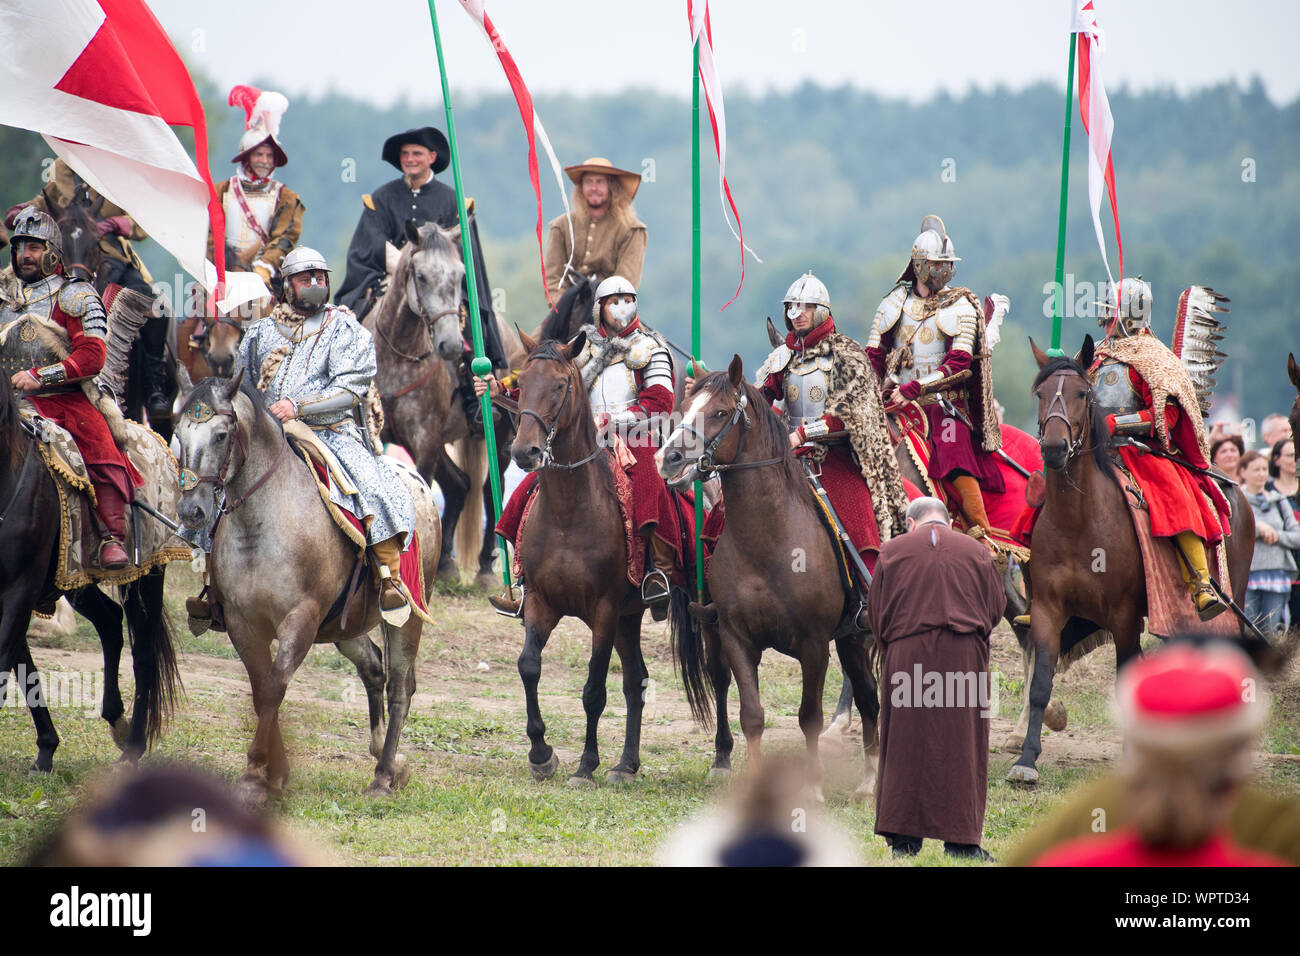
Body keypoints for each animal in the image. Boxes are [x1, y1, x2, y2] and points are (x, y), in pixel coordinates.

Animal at [655, 356, 878, 801]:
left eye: (719, 413)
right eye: (684, 407)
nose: (670, 459)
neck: (769, 541)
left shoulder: (813, 645)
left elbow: (809, 716)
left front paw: (812, 788)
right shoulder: (737, 638)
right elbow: (752, 714)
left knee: (871, 699)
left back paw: (869, 782)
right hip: (849, 639)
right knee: (866, 695)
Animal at [1013, 335, 1258, 785]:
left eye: (1082, 394)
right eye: (1040, 393)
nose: (1054, 449)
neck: (1079, 521)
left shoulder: (1124, 616)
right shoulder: (1047, 611)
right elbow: (1040, 684)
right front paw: (1026, 759)